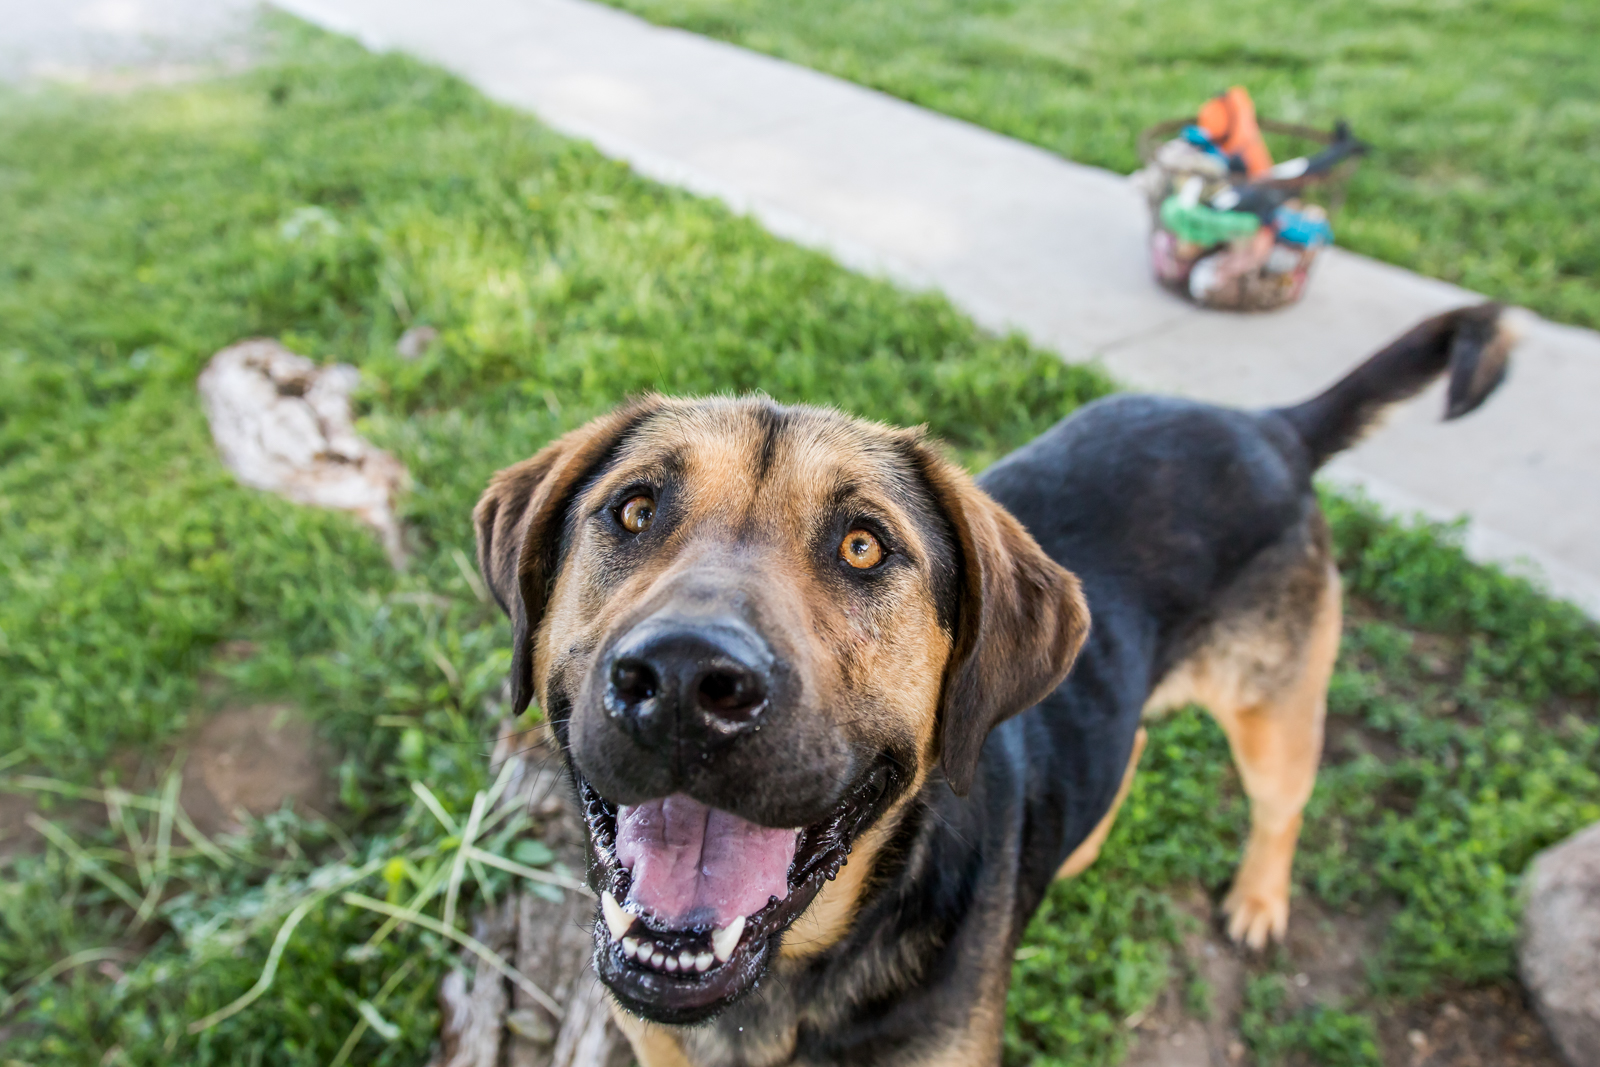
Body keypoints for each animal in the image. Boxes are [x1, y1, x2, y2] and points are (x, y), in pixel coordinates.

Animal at [470, 303, 1510, 1062]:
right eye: (634, 509)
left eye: (863, 546)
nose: (688, 678)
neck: (798, 974)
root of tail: (1267, 425)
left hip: (1274, 708)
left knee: (1281, 806)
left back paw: (1258, 900)